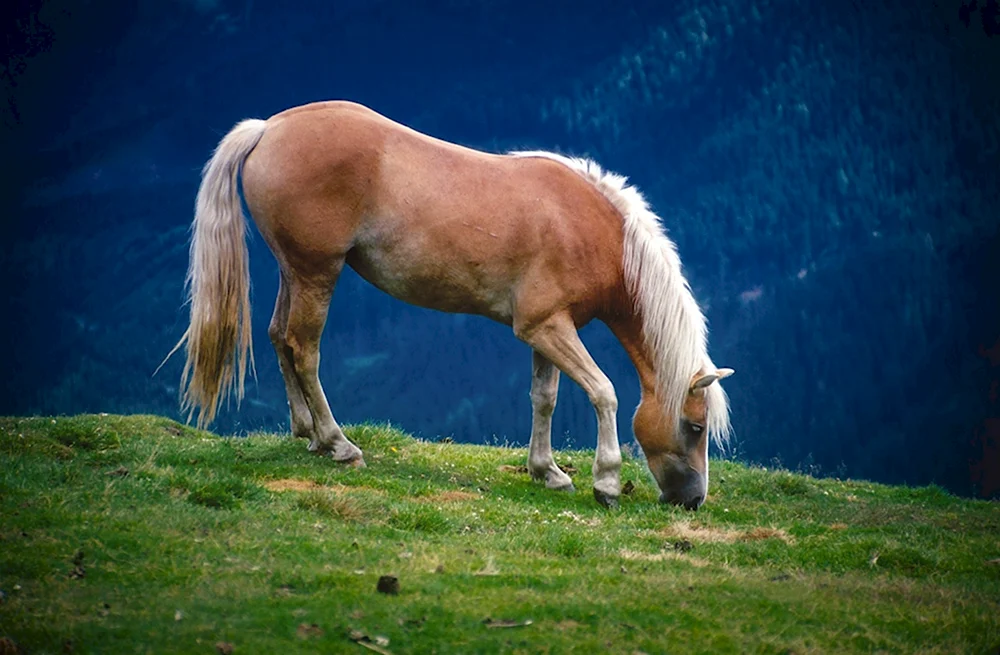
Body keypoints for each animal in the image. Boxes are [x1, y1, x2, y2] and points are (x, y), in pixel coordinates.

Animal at [174, 101, 736, 512]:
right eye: (695, 428)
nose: (693, 500)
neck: (587, 229)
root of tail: (268, 128)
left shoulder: (548, 329)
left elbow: (545, 398)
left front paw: (547, 472)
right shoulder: (547, 328)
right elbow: (604, 393)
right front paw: (607, 482)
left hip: (295, 271)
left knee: (279, 337)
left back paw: (309, 434)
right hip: (317, 273)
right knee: (304, 348)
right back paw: (339, 444)